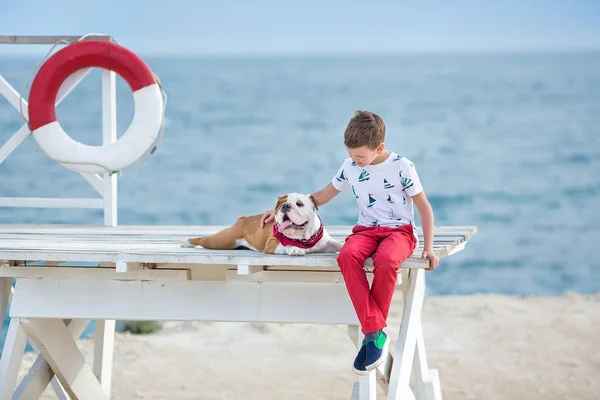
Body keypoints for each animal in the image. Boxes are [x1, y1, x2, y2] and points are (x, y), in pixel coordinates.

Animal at [182, 193, 342, 256]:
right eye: (280, 204)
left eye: (299, 204)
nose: (285, 206)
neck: (304, 239)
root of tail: (242, 219)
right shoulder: (272, 244)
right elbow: (287, 244)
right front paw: (295, 249)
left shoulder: (326, 242)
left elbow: (337, 243)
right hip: (222, 241)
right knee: (204, 239)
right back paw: (187, 242)